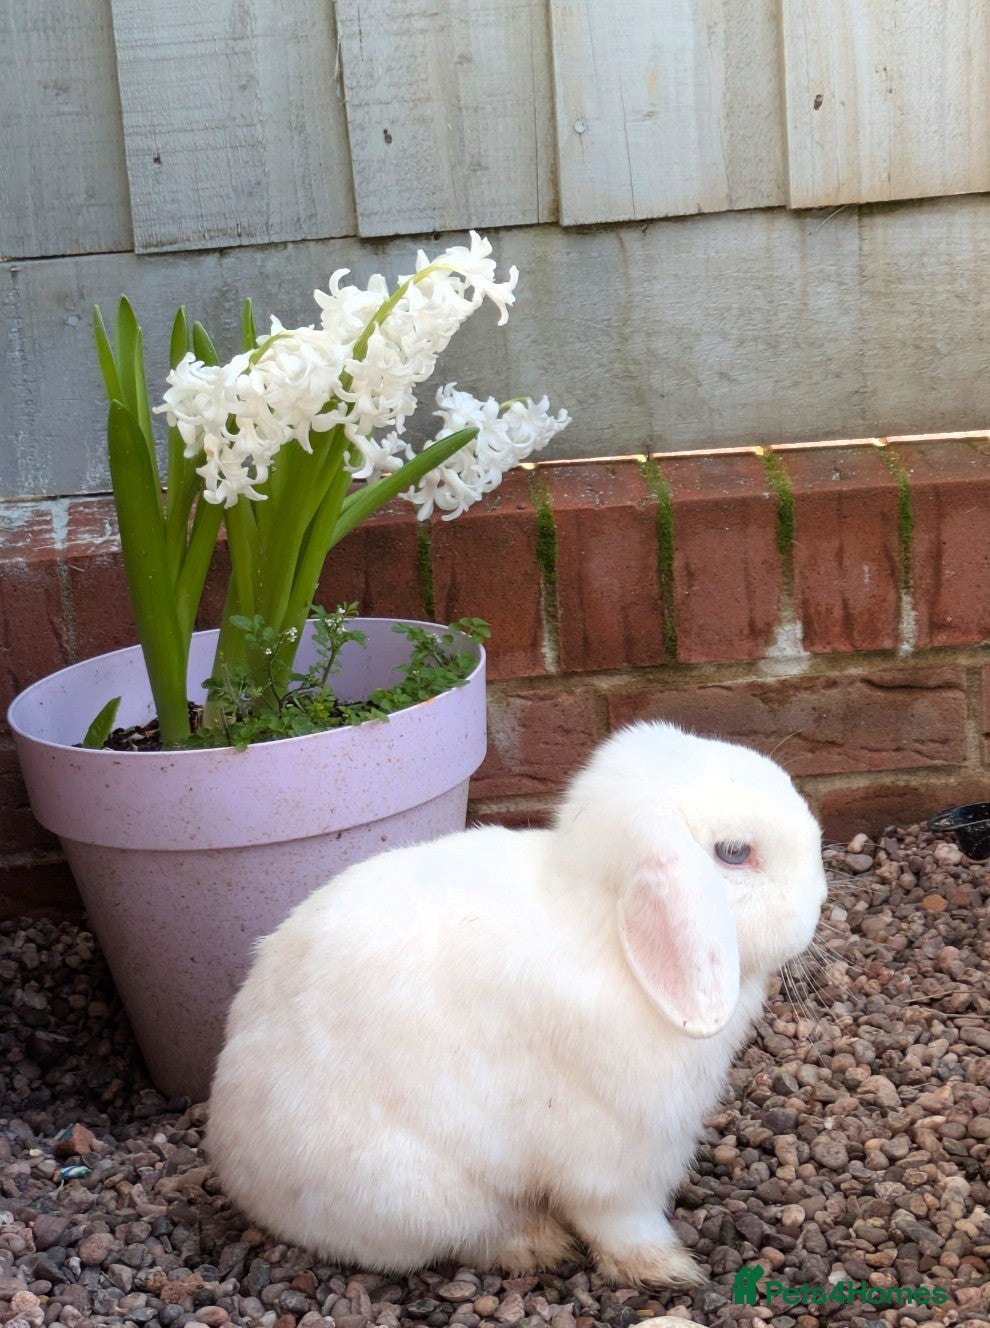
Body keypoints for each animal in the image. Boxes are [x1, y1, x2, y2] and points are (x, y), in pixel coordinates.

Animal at [207, 720, 827, 1287]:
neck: (608, 935)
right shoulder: (617, 1155)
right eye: (734, 853)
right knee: (470, 1236)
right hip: (424, 1198)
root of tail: (236, 1170)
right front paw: (668, 1269)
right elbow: (622, 1220)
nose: (820, 900)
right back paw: (536, 1245)